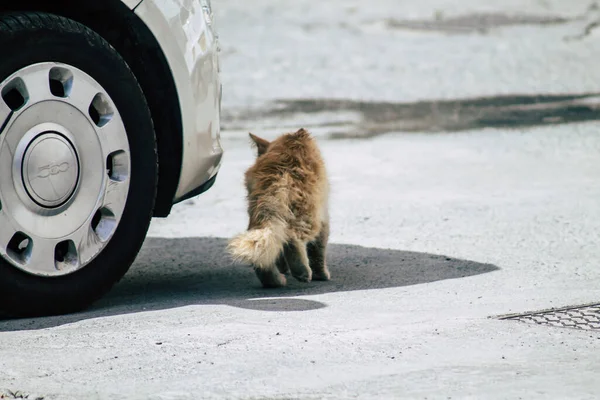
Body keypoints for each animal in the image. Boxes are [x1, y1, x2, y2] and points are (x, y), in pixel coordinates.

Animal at [227, 128, 330, 288]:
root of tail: (280, 171)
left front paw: (283, 268)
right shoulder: (323, 216)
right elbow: (317, 251)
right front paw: (322, 275)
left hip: (260, 217)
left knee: (263, 253)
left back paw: (275, 282)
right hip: (308, 217)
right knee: (292, 239)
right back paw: (302, 272)